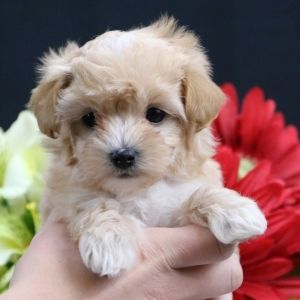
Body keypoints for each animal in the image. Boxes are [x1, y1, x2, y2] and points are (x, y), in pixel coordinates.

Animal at [28, 17, 268, 276]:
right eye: (89, 118)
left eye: (155, 114)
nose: (123, 156)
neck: (140, 190)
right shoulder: (68, 199)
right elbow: (96, 204)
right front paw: (108, 243)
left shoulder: (174, 215)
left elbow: (196, 195)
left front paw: (236, 210)